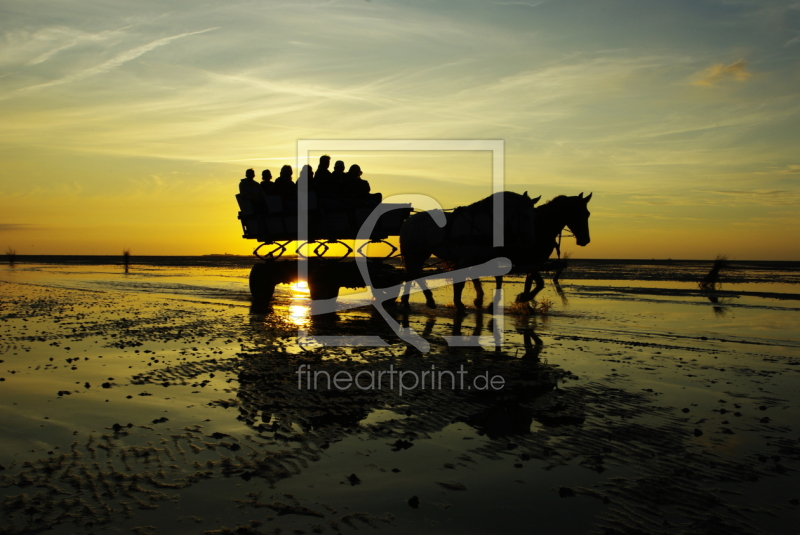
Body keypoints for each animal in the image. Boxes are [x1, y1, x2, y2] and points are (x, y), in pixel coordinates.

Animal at [398, 192, 536, 310]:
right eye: (525, 216)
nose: (530, 242)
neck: (484, 224)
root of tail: (408, 221)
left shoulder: (487, 257)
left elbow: (497, 279)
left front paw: (485, 302)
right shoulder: (466, 259)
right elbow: (461, 282)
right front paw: (459, 304)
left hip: (420, 254)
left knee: (412, 274)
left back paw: (408, 301)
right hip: (416, 254)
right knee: (415, 274)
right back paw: (429, 300)